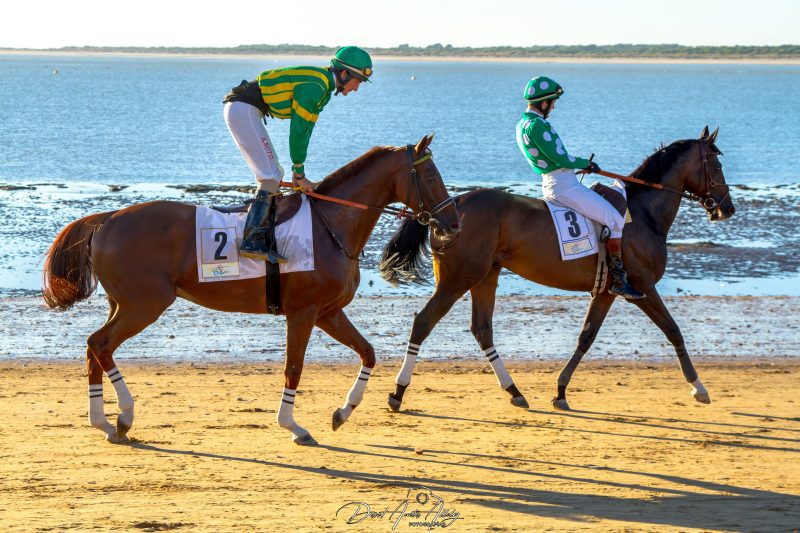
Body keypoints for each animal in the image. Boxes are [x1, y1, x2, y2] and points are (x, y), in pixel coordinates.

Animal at [42, 135, 460, 445]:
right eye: (431, 175)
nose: (454, 223)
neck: (330, 225)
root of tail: (107, 218)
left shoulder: (328, 312)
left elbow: (368, 352)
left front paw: (343, 412)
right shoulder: (303, 312)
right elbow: (294, 367)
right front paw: (293, 426)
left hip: (124, 303)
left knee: (95, 348)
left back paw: (107, 421)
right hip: (144, 304)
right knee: (100, 345)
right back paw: (122, 416)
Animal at [380, 127, 734, 412]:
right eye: (717, 165)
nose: (727, 208)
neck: (642, 214)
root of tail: (447, 209)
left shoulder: (606, 292)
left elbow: (586, 337)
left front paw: (561, 390)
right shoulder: (642, 286)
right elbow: (673, 330)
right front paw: (698, 387)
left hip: (485, 277)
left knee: (482, 329)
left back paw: (514, 391)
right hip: (457, 280)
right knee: (423, 322)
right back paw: (398, 392)